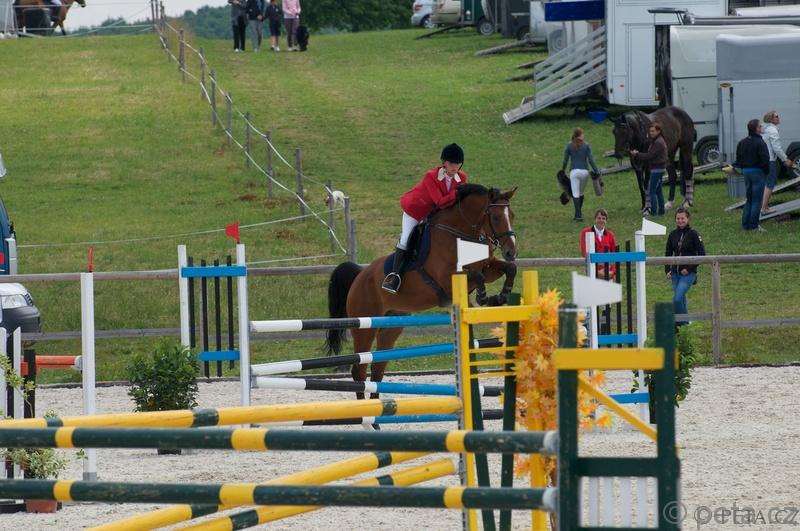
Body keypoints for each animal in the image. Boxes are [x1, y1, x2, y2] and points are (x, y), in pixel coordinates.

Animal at [324, 184, 518, 402]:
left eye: (512, 215)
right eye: (495, 217)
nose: (511, 252)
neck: (461, 233)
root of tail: (359, 275)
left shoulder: (487, 266)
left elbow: (508, 269)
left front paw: (500, 296)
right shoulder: (446, 278)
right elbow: (478, 276)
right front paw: (482, 296)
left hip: (390, 326)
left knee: (377, 369)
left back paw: (377, 411)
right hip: (364, 326)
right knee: (359, 370)